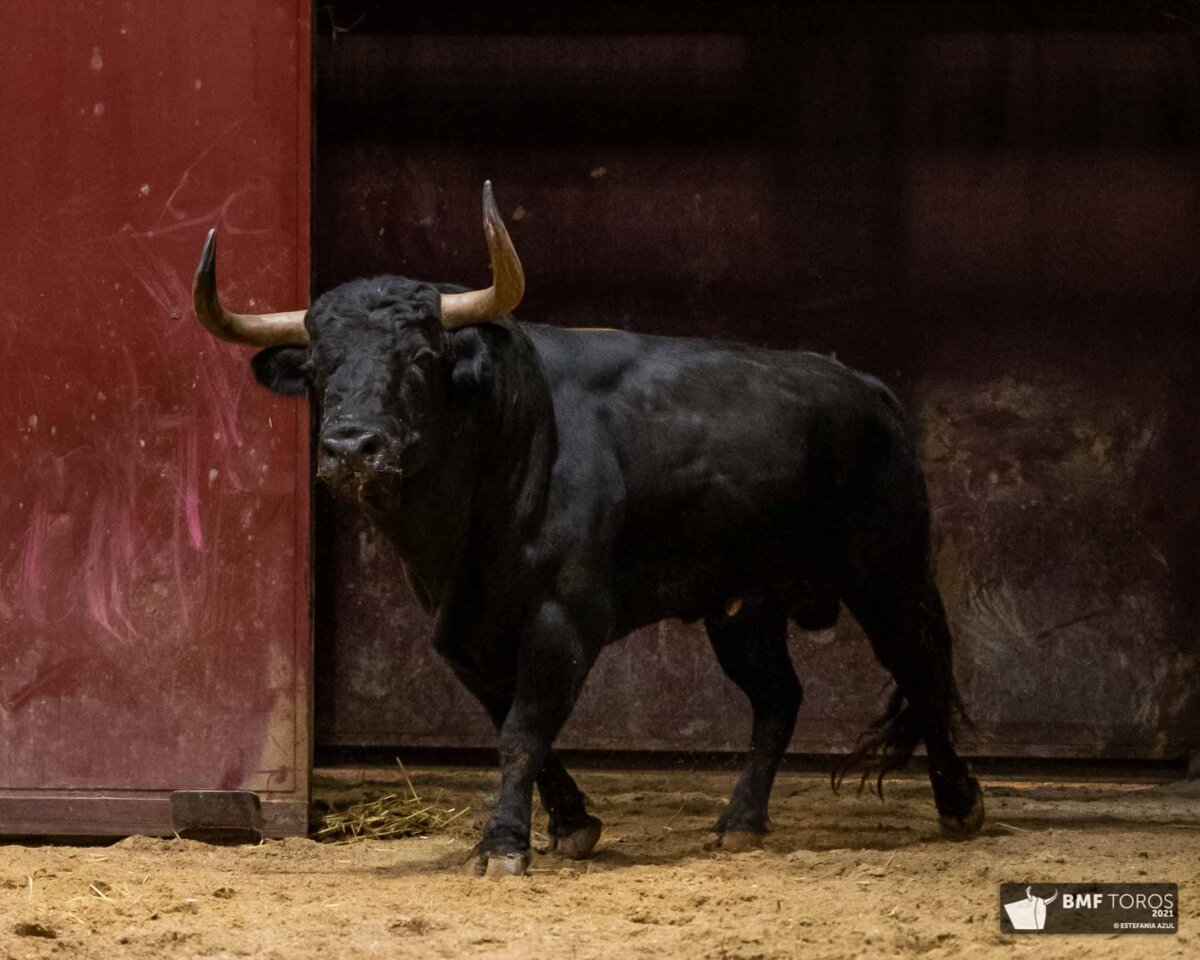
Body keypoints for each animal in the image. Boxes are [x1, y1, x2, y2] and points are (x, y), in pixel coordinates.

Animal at [192, 182, 985, 877]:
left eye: (420, 358)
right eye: (319, 367)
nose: (352, 448)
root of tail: (866, 387)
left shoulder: (562, 617)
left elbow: (523, 730)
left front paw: (504, 846)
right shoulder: (463, 633)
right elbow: (516, 726)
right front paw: (572, 824)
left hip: (889, 572)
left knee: (920, 666)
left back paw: (959, 805)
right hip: (743, 606)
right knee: (779, 698)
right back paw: (739, 821)